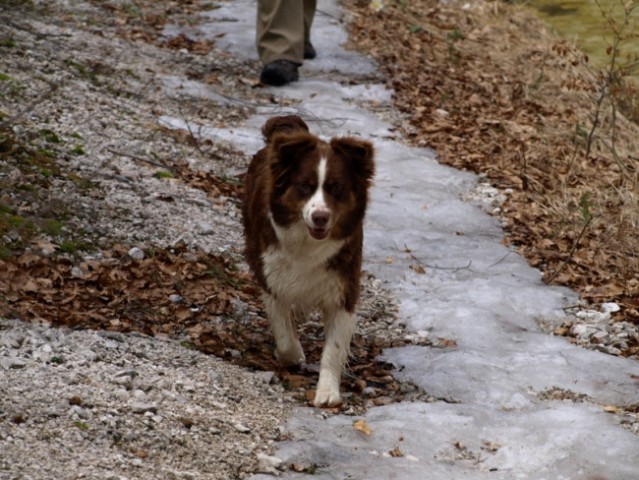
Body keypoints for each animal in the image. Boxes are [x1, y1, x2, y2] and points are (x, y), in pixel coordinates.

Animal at [244, 115, 376, 404]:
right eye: (304, 186)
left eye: (337, 188)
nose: (320, 217)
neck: (307, 243)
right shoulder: (271, 276)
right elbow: (284, 335)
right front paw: (293, 356)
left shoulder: (344, 287)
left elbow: (333, 349)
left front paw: (327, 392)